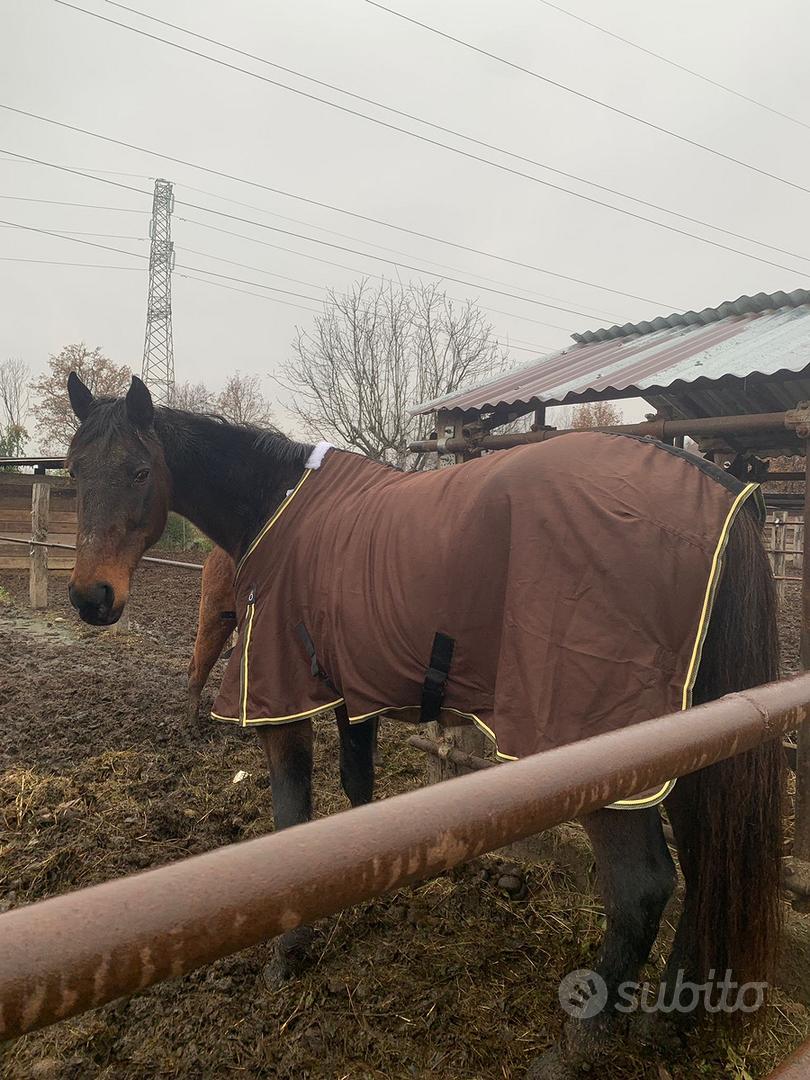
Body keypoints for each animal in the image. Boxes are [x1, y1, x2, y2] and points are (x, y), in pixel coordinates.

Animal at [66, 375, 781, 1075]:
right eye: (73, 471)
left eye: (139, 471)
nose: (91, 597)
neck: (277, 507)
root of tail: (721, 494)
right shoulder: (352, 695)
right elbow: (357, 797)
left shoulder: (283, 703)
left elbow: (292, 820)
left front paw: (289, 951)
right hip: (694, 743)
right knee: (704, 869)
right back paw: (670, 1020)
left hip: (607, 754)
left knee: (643, 890)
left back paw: (577, 1046)